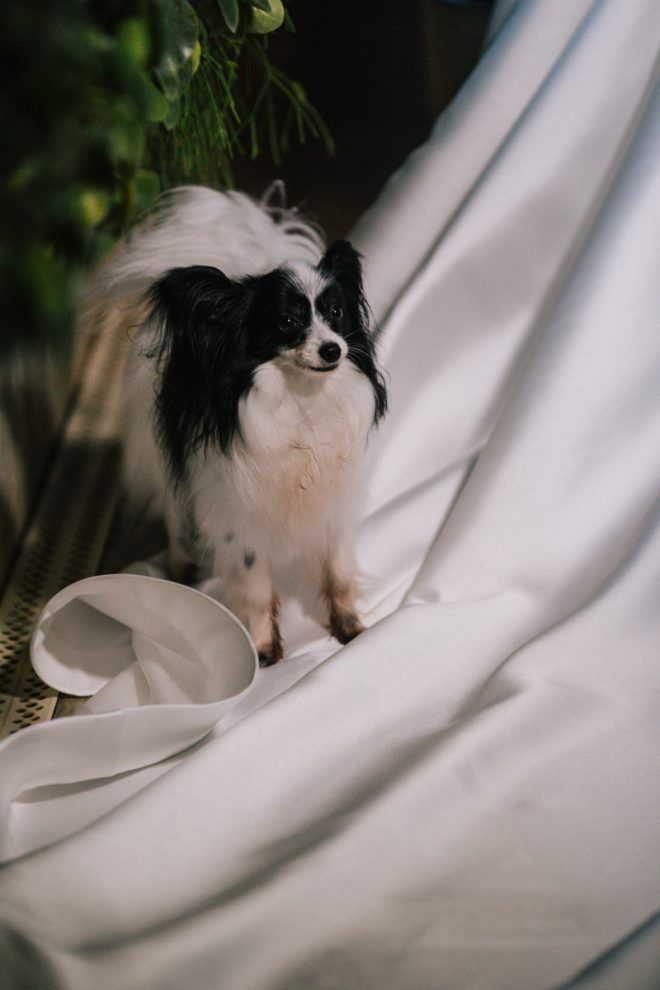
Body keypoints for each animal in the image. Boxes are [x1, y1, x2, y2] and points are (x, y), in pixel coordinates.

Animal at [83, 186, 387, 664]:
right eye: (287, 322)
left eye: (336, 314)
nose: (333, 350)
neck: (301, 400)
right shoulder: (240, 518)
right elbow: (258, 588)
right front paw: (264, 649)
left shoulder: (335, 504)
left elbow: (337, 571)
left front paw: (349, 628)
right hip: (169, 462)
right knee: (175, 511)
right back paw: (180, 565)